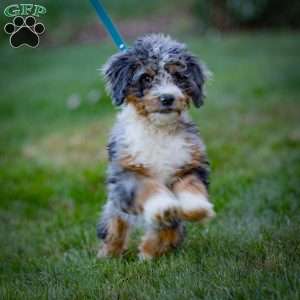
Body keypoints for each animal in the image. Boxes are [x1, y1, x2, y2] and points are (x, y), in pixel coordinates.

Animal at [97, 33, 214, 260]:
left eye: (178, 77)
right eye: (146, 78)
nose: (167, 98)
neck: (158, 130)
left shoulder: (190, 164)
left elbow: (191, 185)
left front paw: (196, 207)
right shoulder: (127, 173)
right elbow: (149, 187)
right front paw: (164, 206)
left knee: (166, 230)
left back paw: (149, 252)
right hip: (115, 202)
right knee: (114, 226)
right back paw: (109, 254)